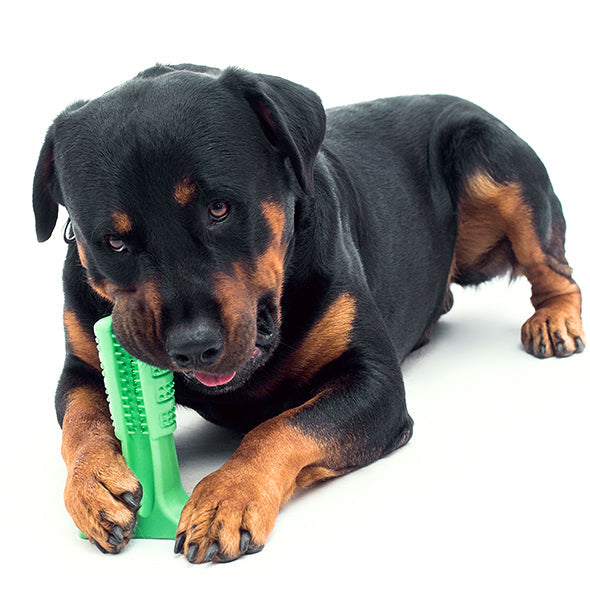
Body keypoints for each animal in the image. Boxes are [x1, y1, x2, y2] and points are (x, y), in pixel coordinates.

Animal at [33, 63, 588, 564]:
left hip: (490, 160)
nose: (191, 346)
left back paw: (555, 321)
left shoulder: (373, 382)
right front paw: (93, 484)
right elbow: (79, 419)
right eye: (113, 241)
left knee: (554, 268)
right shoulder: (80, 366)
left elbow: (283, 427)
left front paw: (226, 497)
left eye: (219, 208)